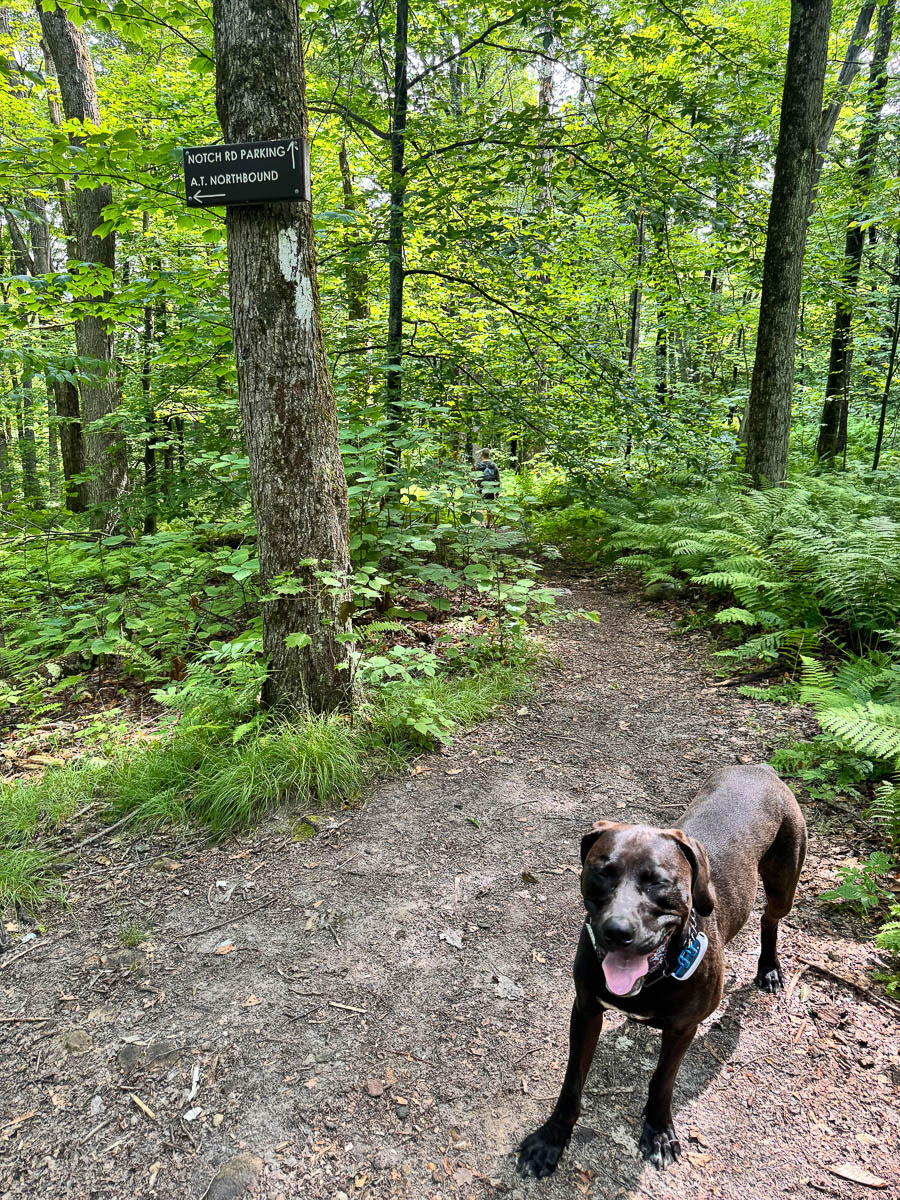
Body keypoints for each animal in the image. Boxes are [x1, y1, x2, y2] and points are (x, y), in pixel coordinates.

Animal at [518, 768, 806, 1171]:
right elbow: (572, 1082)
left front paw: (658, 1131)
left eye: (658, 882)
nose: (617, 930)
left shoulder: (683, 1029)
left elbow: (662, 1082)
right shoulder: (586, 1010)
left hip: (784, 882)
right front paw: (552, 1138)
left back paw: (768, 968)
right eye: (602, 872)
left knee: (770, 917)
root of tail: (761, 769)